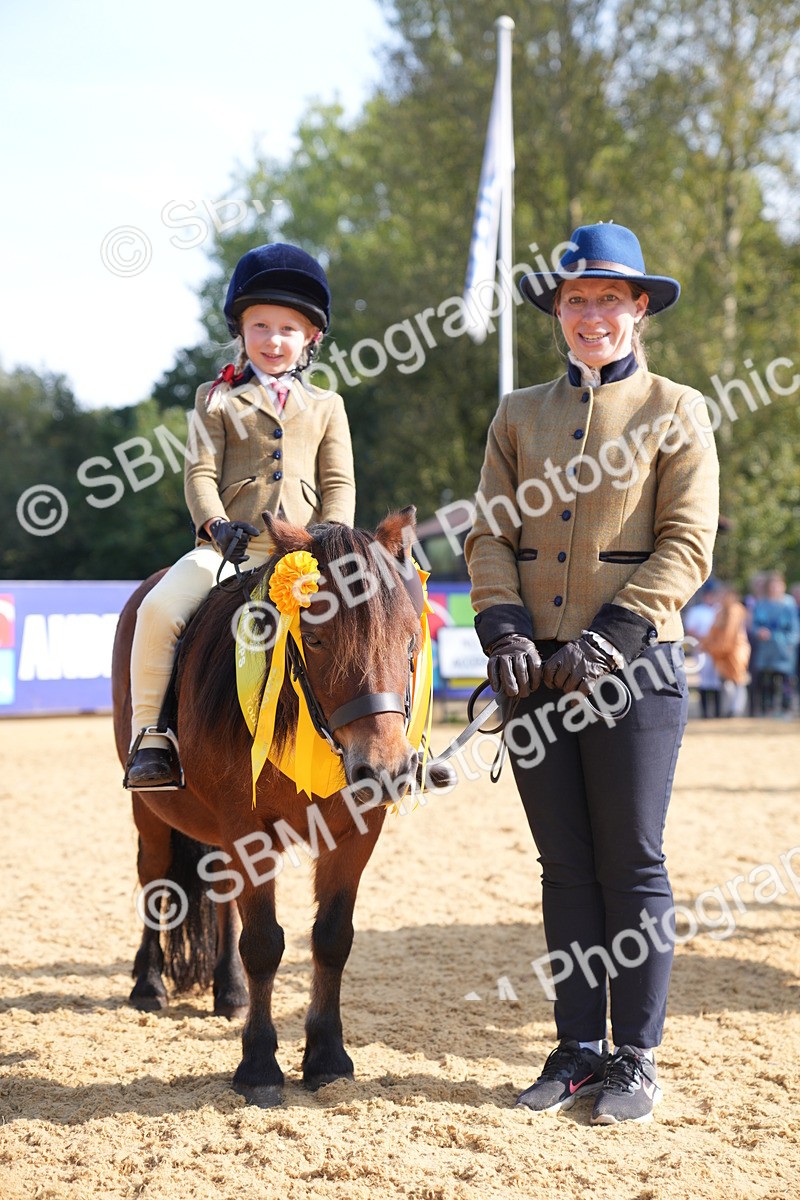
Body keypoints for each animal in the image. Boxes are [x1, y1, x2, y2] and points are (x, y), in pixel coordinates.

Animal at [112, 508, 428, 1107]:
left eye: (409, 641)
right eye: (317, 637)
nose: (385, 771)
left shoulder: (357, 830)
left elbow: (331, 938)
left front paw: (327, 1057)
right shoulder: (246, 828)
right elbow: (264, 943)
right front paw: (258, 1065)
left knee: (220, 893)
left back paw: (229, 991)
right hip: (151, 812)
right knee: (156, 879)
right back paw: (149, 982)